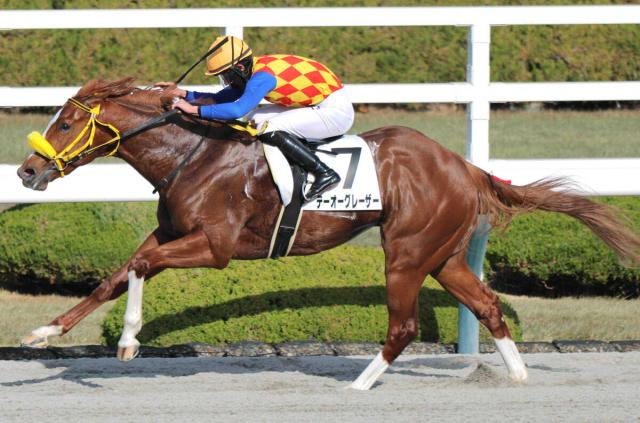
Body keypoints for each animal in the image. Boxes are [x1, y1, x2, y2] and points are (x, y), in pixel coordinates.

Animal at [17, 78, 640, 390]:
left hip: (406, 254)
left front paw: (127, 341)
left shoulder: (216, 248)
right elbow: (116, 275)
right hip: (443, 255)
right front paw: (45, 333)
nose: (26, 171)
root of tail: (463, 166)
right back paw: (517, 373)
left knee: (404, 325)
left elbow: (142, 269)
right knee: (486, 303)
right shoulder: (167, 232)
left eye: (66, 123)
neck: (193, 154)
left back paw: (360, 385)